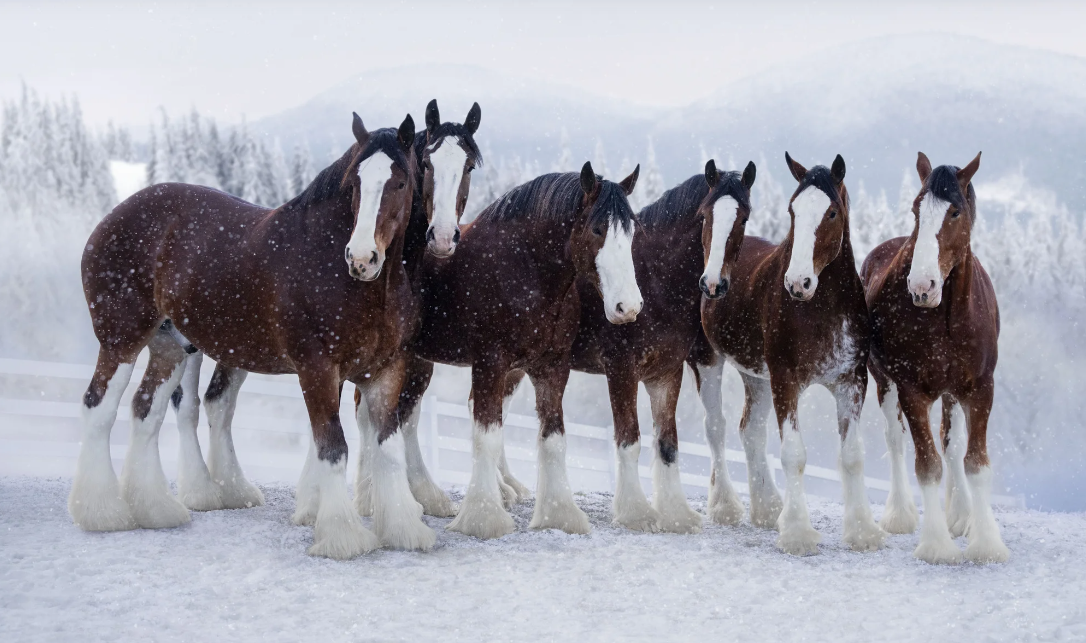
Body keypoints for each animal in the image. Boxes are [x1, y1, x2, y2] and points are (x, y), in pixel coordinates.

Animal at [65, 110, 432, 556]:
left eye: (401, 182)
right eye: (354, 184)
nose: (362, 258)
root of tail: (111, 218)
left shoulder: (386, 371)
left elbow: (388, 447)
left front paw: (403, 529)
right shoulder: (317, 369)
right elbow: (333, 447)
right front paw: (341, 535)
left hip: (169, 347)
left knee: (146, 410)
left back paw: (156, 510)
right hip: (121, 339)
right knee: (99, 407)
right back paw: (102, 513)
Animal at [393, 161, 642, 536]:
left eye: (632, 232)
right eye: (598, 229)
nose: (628, 307)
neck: (523, 269)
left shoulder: (552, 368)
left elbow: (553, 438)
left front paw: (559, 513)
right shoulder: (490, 364)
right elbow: (487, 435)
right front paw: (483, 517)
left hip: (418, 362)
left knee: (403, 416)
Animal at [569, 159, 755, 532]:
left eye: (743, 218)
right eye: (704, 215)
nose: (713, 283)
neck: (654, 279)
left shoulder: (666, 372)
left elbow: (668, 442)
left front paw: (675, 513)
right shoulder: (621, 370)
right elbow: (629, 439)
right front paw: (635, 513)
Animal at [699, 153, 886, 556]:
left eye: (831, 212)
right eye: (792, 210)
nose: (798, 282)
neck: (819, 308)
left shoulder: (851, 381)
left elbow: (852, 455)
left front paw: (863, 531)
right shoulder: (786, 380)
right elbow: (794, 454)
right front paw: (798, 533)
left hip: (755, 375)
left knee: (750, 430)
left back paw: (769, 509)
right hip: (708, 361)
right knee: (716, 427)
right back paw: (725, 506)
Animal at [864, 152, 1007, 564]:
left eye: (955, 211)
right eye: (916, 210)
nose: (921, 286)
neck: (946, 316)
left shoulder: (980, 389)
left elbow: (974, 462)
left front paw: (986, 541)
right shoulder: (911, 391)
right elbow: (927, 464)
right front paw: (937, 546)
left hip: (952, 392)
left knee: (952, 444)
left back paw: (960, 514)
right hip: (884, 382)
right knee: (896, 438)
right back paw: (900, 514)